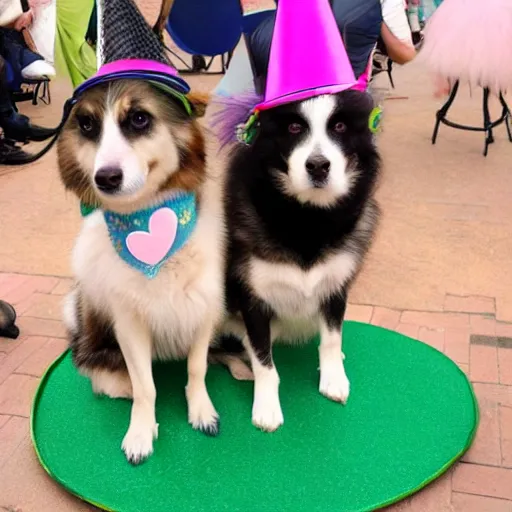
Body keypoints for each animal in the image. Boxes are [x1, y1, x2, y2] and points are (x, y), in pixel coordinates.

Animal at [57, 80, 223, 464]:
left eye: (139, 118)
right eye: (87, 125)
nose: (105, 178)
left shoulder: (205, 307)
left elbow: (197, 367)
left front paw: (201, 410)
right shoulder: (129, 323)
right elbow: (145, 386)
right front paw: (140, 432)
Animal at [220, 91, 380, 432]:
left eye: (340, 126)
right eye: (294, 127)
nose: (318, 166)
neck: (306, 220)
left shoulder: (336, 288)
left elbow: (331, 339)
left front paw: (334, 379)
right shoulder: (253, 300)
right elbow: (263, 358)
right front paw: (266, 406)